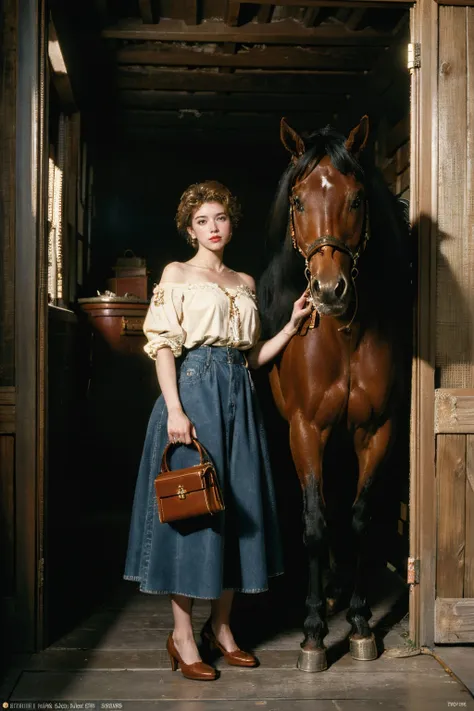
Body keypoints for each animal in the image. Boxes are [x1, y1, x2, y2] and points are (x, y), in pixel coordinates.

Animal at [260, 115, 412, 672]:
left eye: (357, 198)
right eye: (298, 201)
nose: (329, 292)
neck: (343, 335)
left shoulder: (376, 431)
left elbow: (360, 519)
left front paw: (362, 622)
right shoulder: (306, 430)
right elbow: (314, 522)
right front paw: (312, 633)